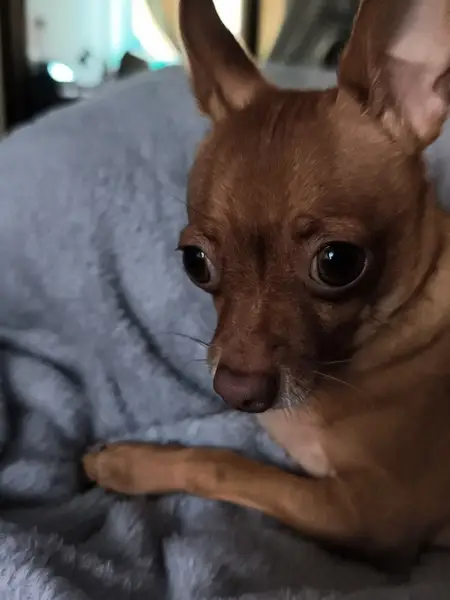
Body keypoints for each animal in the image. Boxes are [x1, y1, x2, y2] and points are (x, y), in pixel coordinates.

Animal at [84, 0, 450, 567]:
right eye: (195, 262)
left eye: (339, 263)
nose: (238, 392)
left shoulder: (372, 517)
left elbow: (221, 463)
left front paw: (127, 463)